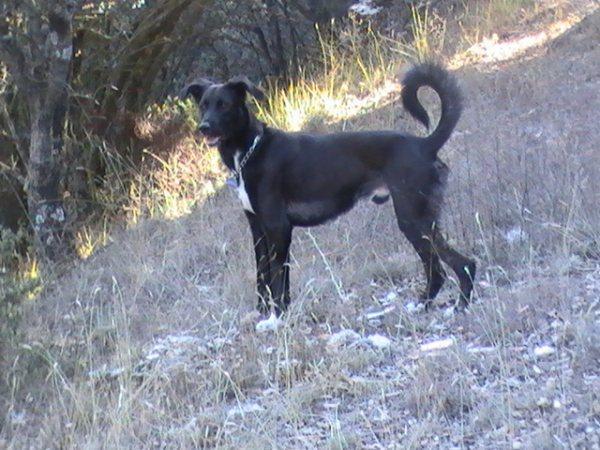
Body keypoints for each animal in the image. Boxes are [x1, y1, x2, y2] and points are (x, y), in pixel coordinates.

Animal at [183, 63, 478, 316]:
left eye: (224, 105)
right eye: (203, 105)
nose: (203, 127)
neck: (249, 151)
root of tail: (425, 145)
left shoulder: (278, 228)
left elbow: (278, 280)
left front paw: (278, 317)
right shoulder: (258, 230)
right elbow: (263, 277)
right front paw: (264, 316)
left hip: (413, 218)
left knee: (462, 264)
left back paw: (459, 306)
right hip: (419, 222)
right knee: (438, 270)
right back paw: (424, 306)